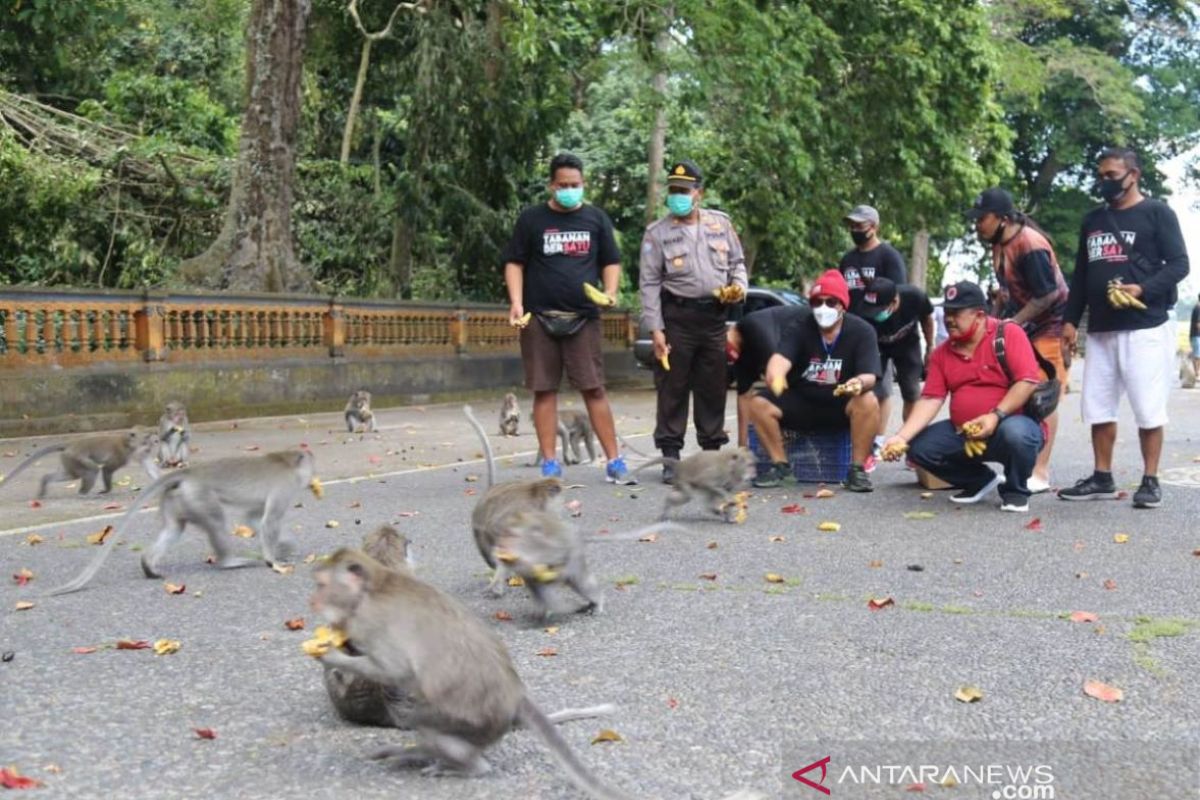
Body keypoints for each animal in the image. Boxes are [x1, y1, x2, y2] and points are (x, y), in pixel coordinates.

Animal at [0, 431, 160, 501]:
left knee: (71, 475)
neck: (128, 444)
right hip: (75, 457)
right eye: (146, 439)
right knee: (92, 470)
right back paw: (83, 493)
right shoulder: (120, 455)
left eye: (150, 440)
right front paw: (106, 490)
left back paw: (45, 483)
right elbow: (107, 469)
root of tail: (70, 444)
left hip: (67, 459)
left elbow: (148, 466)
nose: (151, 446)